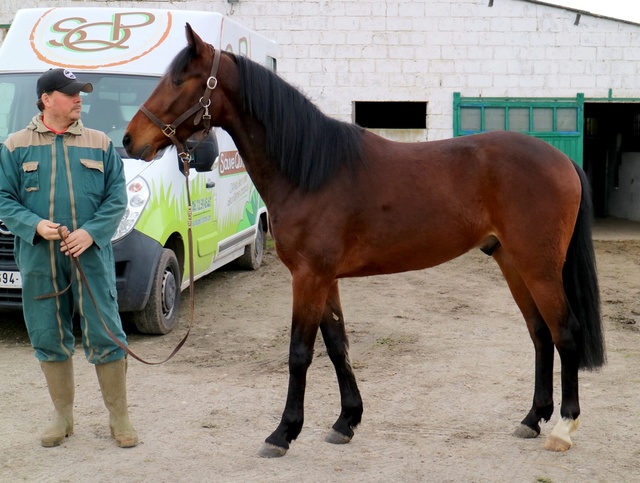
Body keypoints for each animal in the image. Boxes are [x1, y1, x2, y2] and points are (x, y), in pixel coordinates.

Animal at [121, 25, 604, 458]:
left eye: (179, 80)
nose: (130, 140)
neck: (310, 170)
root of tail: (562, 160)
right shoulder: (324, 278)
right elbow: (338, 346)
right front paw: (345, 422)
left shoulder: (308, 277)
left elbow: (300, 352)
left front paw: (282, 433)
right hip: (512, 263)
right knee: (540, 334)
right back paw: (532, 419)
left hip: (539, 267)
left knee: (565, 332)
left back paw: (563, 428)